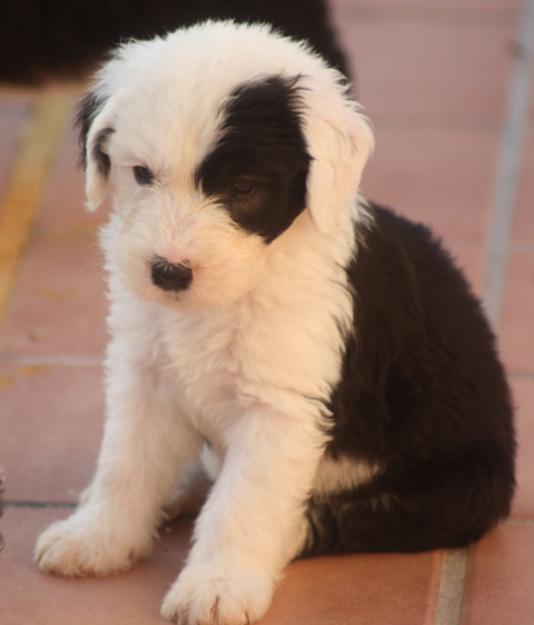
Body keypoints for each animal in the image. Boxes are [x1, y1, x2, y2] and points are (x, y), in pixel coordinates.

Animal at [34, 19, 520, 624]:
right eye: (142, 175)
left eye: (243, 188)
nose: (167, 272)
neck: (235, 292)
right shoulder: (145, 371)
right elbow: (125, 461)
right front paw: (97, 536)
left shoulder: (280, 408)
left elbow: (242, 502)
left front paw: (217, 585)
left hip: (456, 493)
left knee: (337, 519)